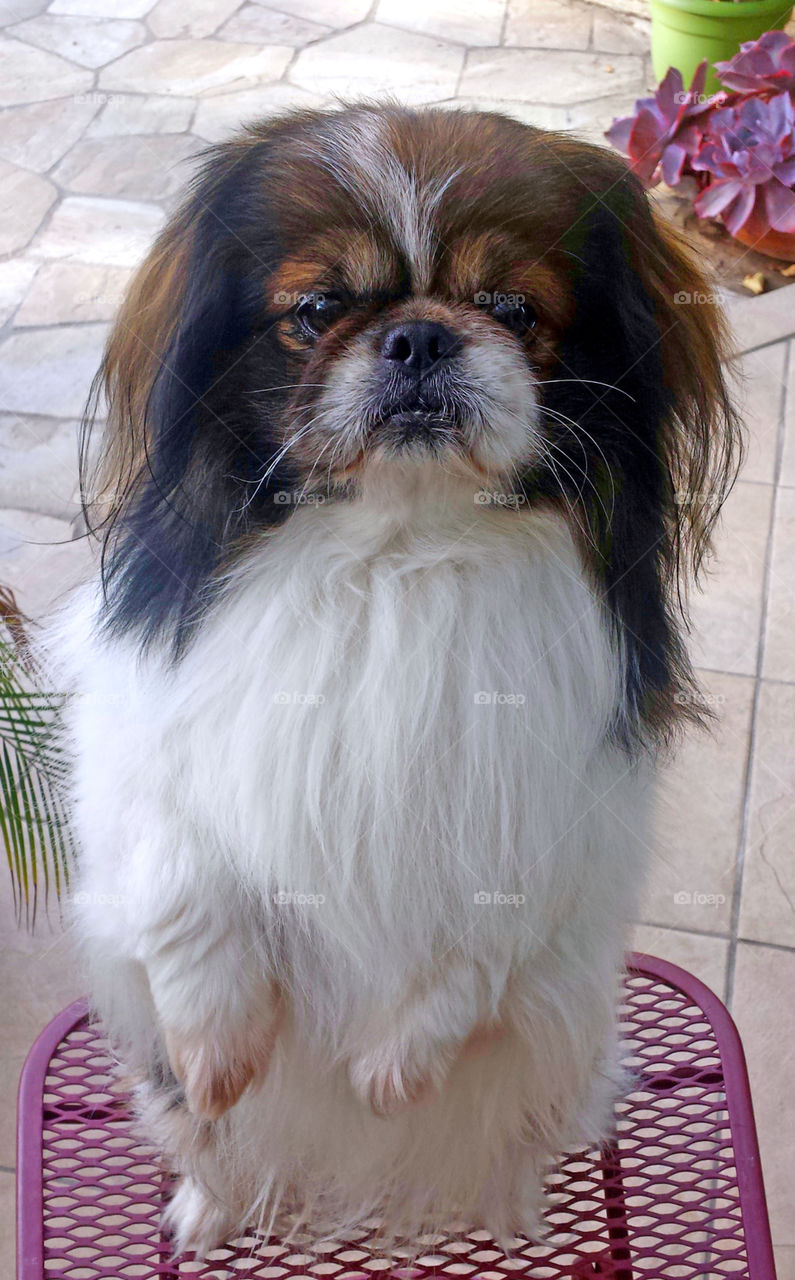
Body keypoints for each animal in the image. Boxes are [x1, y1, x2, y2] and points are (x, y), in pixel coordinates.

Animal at [49, 104, 742, 1254]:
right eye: (319, 309)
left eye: (512, 308)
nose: (419, 335)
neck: (396, 549)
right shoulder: (142, 762)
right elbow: (185, 881)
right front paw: (220, 1048)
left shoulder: (554, 814)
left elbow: (481, 939)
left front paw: (391, 1070)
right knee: (205, 1141)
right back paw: (207, 1206)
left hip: (565, 1052)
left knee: (518, 1136)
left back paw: (511, 1211)